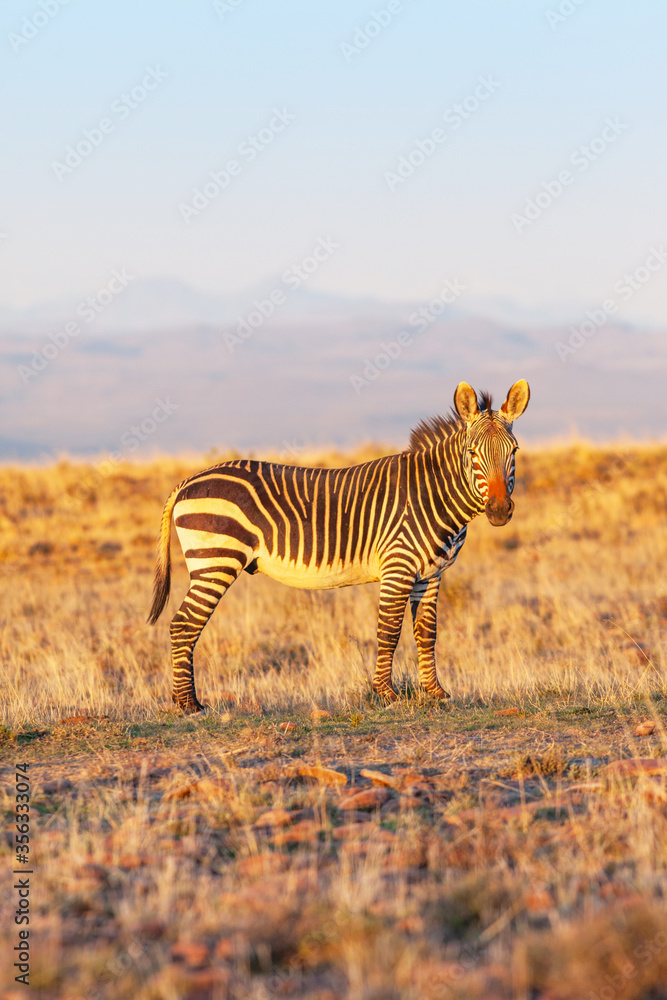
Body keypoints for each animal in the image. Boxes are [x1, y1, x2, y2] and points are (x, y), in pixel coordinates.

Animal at [148, 380, 530, 713]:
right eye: (472, 453)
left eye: (513, 452)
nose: (499, 510)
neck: (432, 495)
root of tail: (188, 481)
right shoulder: (398, 566)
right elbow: (389, 631)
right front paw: (386, 694)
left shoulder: (432, 574)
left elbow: (427, 632)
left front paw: (435, 692)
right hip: (215, 561)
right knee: (183, 625)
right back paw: (189, 704)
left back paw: (185, 700)